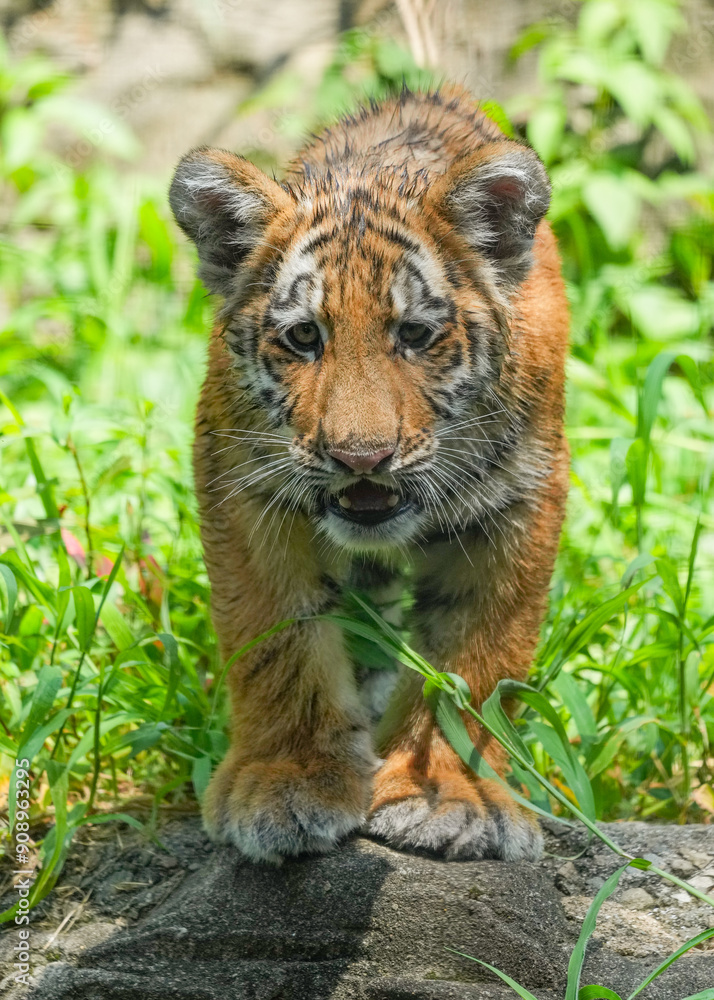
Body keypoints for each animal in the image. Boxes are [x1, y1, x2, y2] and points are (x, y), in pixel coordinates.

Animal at [169, 85, 569, 864]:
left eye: (414, 335)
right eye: (303, 337)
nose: (361, 457)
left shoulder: (519, 503)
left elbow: (477, 657)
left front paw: (449, 793)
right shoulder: (245, 486)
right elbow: (277, 641)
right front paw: (290, 782)